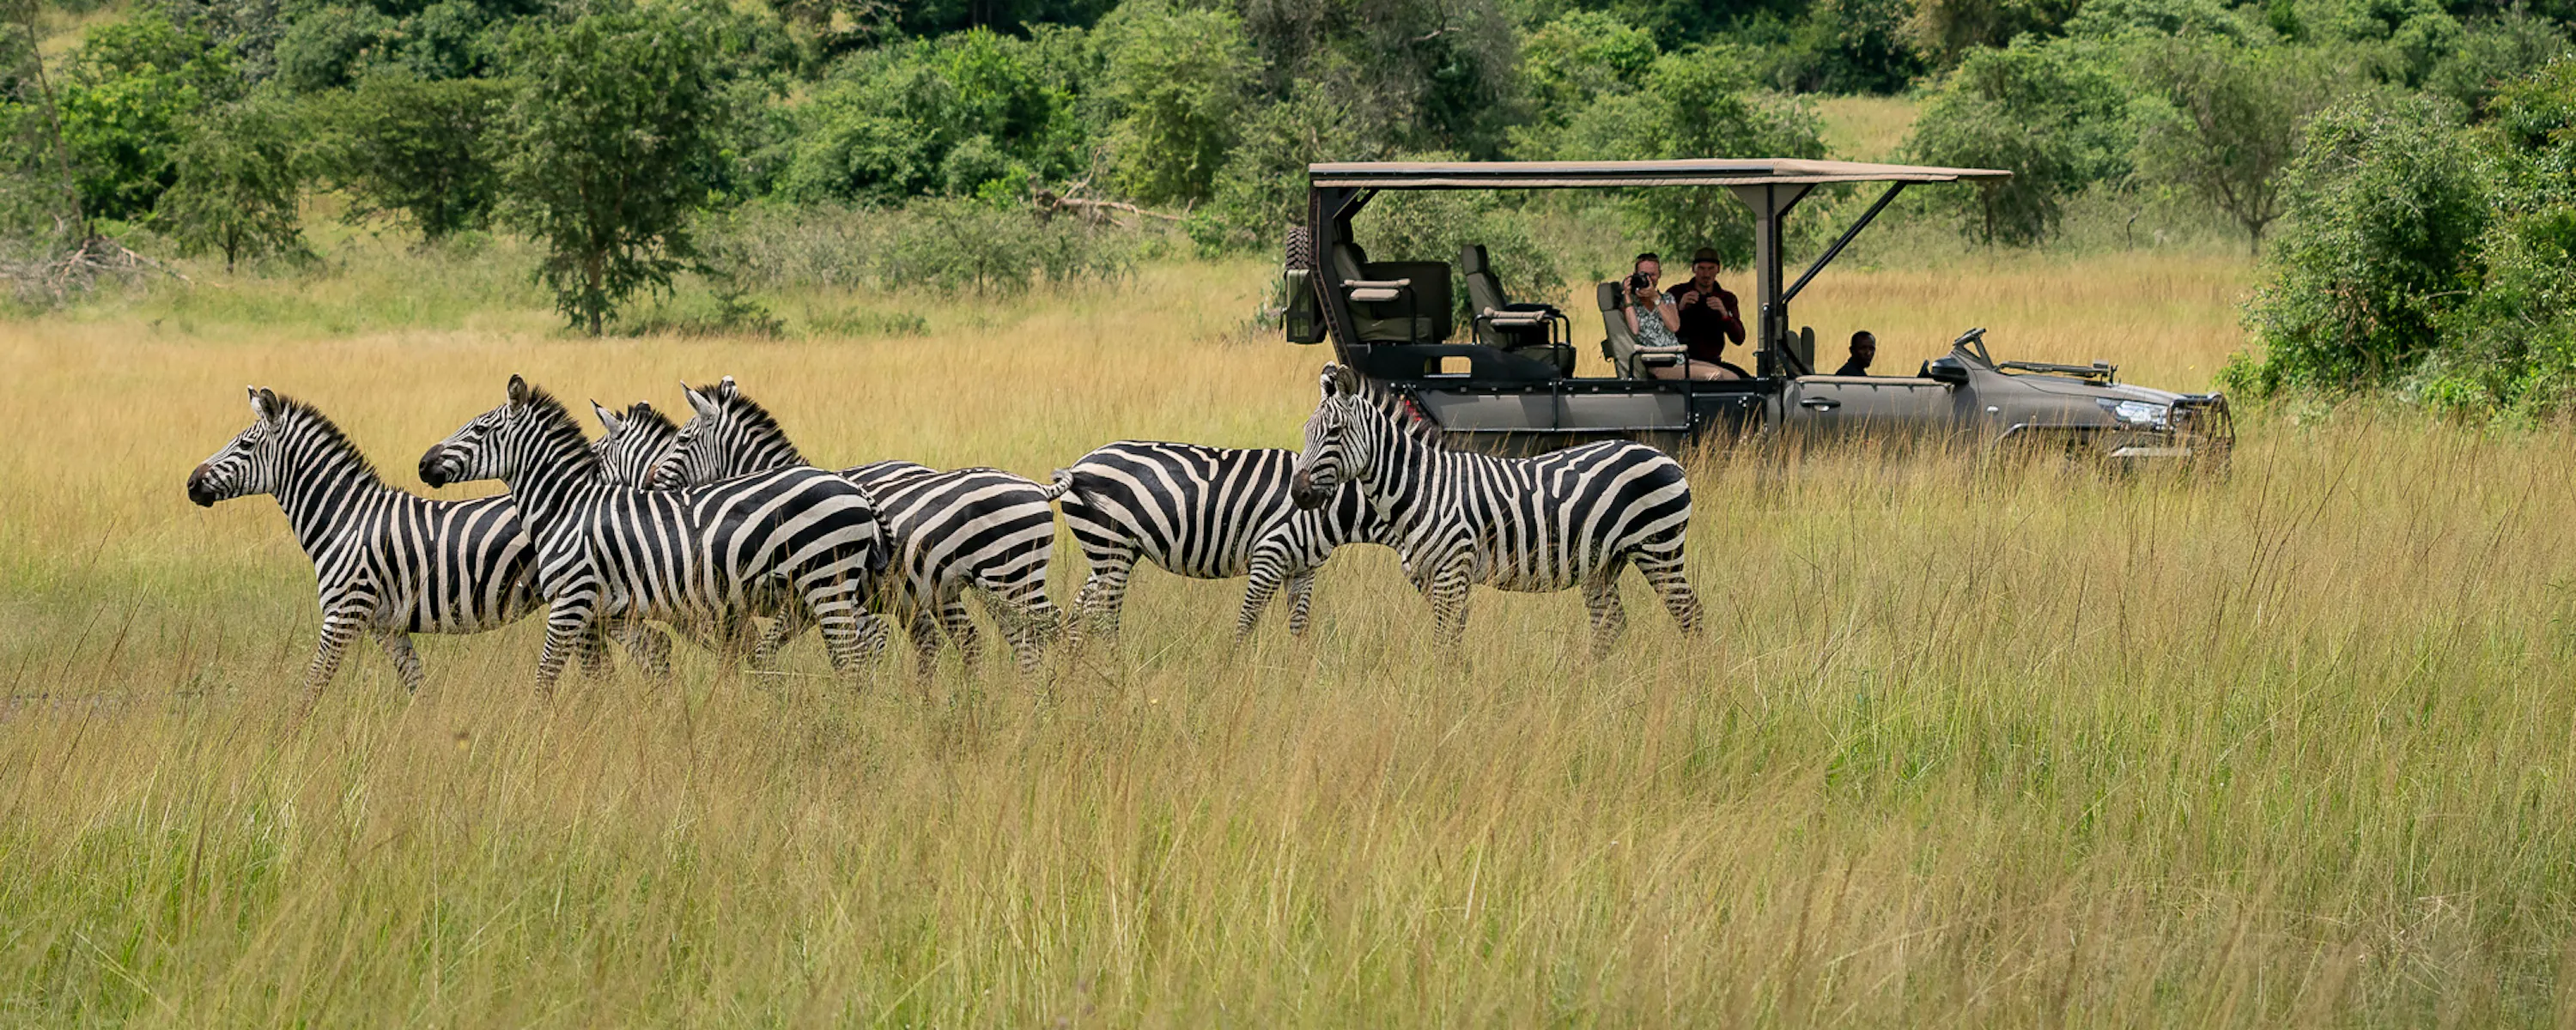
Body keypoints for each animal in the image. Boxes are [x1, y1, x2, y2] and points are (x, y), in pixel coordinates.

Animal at [185, 387, 663, 695]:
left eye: (245, 446)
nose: (191, 483)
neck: (345, 518)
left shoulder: (344, 614)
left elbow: (312, 686)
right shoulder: (386, 625)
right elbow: (417, 687)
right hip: (602, 605)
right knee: (647, 651)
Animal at [417, 375, 890, 691]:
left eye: (479, 430)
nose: (423, 464)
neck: (566, 506)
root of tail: (854, 489)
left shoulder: (572, 599)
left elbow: (547, 674)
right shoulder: (609, 610)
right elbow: (623, 669)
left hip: (827, 581)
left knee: (853, 656)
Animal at [644, 377, 1064, 674]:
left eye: (683, 439)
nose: (650, 481)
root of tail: (1037, 487)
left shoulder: (844, 599)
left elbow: (856, 653)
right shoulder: (807, 604)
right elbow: (768, 651)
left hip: (1014, 576)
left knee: (1054, 629)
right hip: (990, 585)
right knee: (1015, 640)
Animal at [1050, 441, 1388, 644]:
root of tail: (1077, 467)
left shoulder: (1303, 569)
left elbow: (1299, 626)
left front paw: (1300, 677)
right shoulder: (1271, 553)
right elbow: (1247, 622)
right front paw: (1234, 675)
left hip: (1110, 549)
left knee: (1081, 611)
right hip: (1110, 547)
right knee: (1102, 614)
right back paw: (1112, 670)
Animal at [1287, 363, 1703, 654]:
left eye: (1335, 432)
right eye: (1306, 431)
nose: (1298, 493)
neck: (1423, 487)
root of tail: (1665, 456)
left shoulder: (1451, 571)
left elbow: (1445, 643)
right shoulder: (1432, 577)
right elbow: (1451, 640)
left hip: (1659, 550)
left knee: (1690, 615)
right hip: (1603, 562)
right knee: (1611, 624)